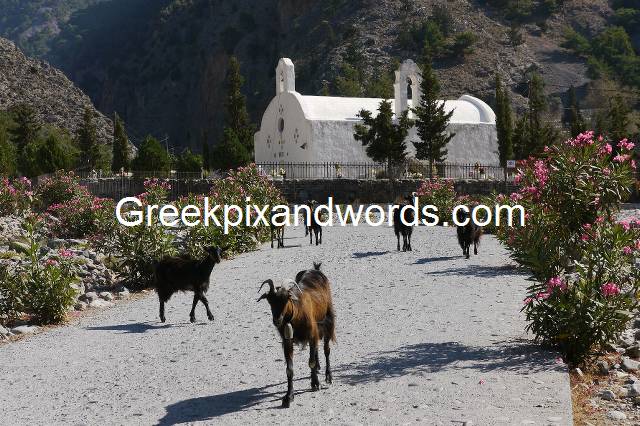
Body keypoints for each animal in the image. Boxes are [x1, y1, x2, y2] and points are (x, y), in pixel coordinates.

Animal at [257, 262, 335, 408]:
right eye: (270, 300)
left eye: (285, 299)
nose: (277, 320)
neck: (296, 314)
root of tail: (315, 269)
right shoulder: (287, 340)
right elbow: (289, 369)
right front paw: (288, 397)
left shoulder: (312, 333)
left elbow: (310, 362)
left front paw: (315, 384)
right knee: (316, 350)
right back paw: (318, 368)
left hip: (328, 320)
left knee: (326, 350)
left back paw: (328, 376)